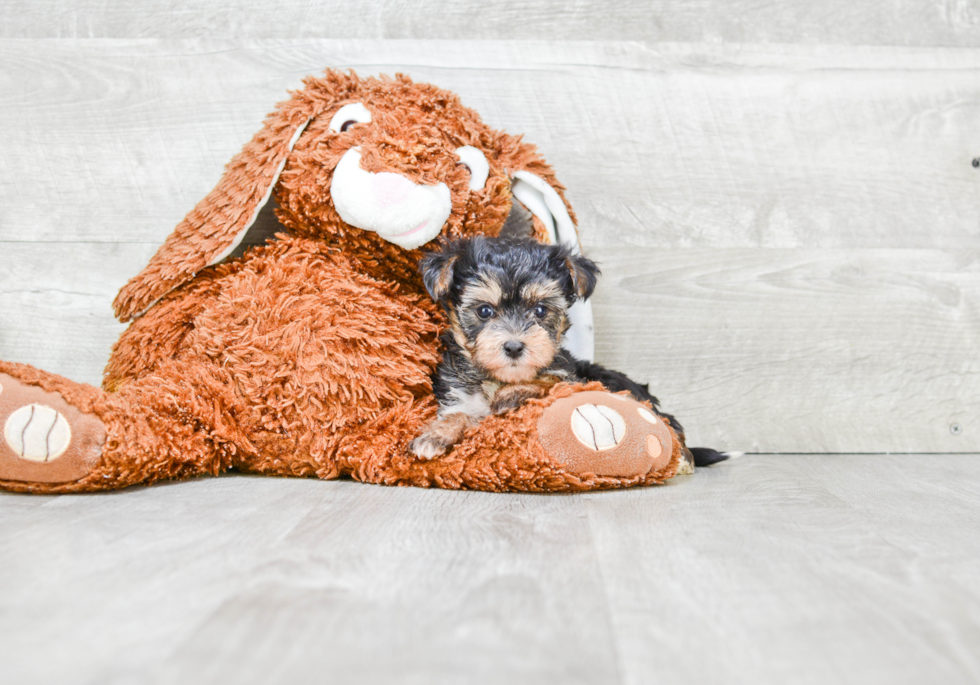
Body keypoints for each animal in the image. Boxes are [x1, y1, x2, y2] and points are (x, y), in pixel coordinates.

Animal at [408, 236, 736, 470]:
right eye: (484, 311)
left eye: (541, 310)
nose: (514, 346)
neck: (499, 378)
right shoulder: (459, 396)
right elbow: (459, 414)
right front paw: (434, 436)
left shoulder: (570, 376)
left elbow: (551, 380)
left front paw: (512, 394)